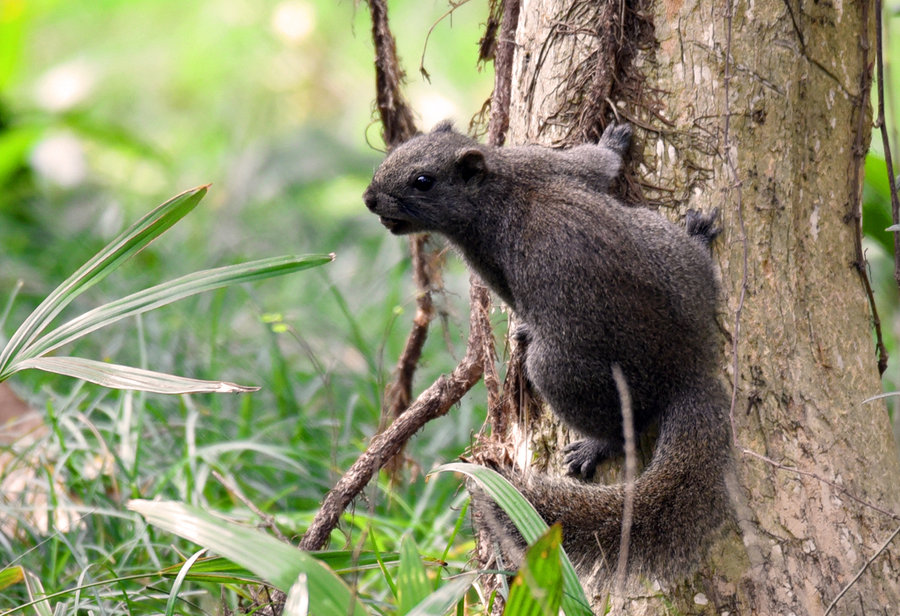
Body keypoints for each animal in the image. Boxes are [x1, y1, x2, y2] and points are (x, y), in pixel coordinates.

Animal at [364, 121, 732, 592]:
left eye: (423, 181)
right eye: (398, 150)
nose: (369, 199)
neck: (499, 184)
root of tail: (688, 368)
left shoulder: (492, 248)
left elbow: (596, 162)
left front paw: (612, 139)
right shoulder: (546, 163)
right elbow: (597, 167)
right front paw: (615, 141)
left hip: (561, 370)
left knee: (622, 427)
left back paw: (594, 446)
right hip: (667, 247)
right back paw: (700, 237)